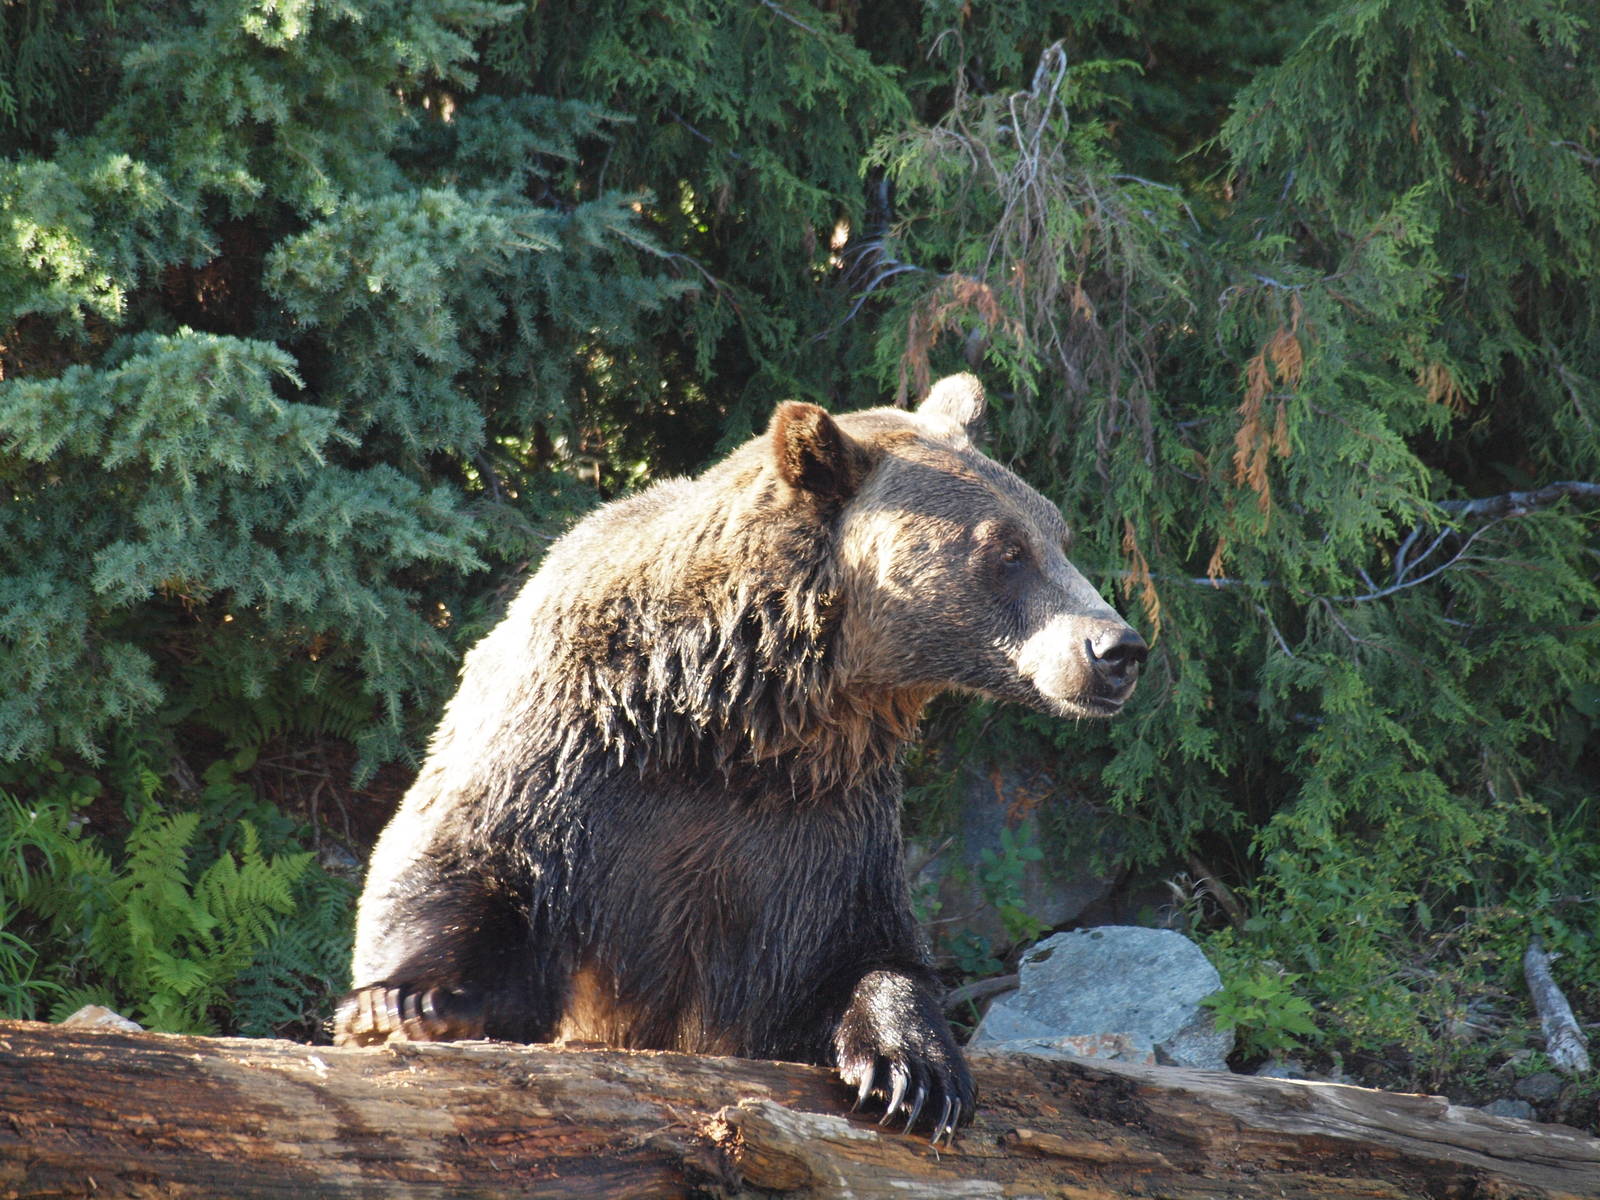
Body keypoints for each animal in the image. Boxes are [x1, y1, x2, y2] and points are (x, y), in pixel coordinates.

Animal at [334, 374, 1146, 1145]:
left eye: (1058, 534)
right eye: (1006, 549)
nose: (1117, 649)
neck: (735, 719)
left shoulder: (820, 825)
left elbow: (860, 950)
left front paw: (914, 1069)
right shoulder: (569, 754)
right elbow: (458, 858)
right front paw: (410, 1002)